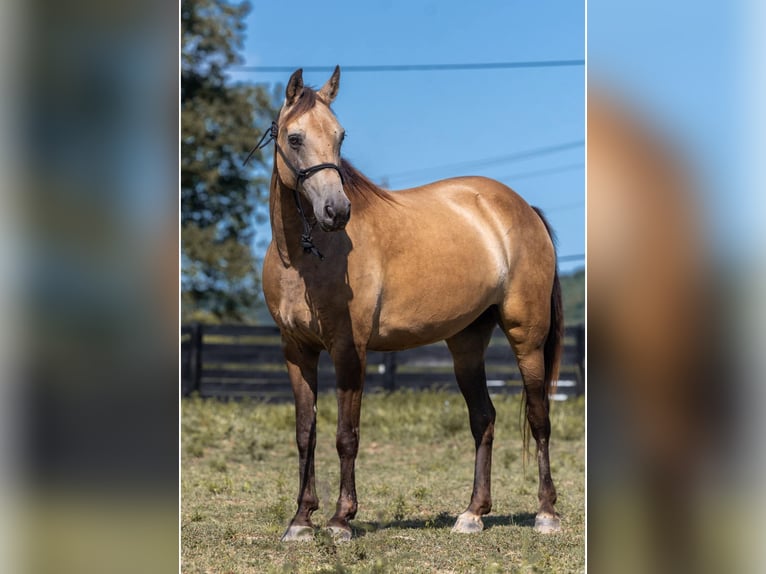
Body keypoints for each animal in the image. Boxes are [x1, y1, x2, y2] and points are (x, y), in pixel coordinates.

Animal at [256, 66, 563, 541]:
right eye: (295, 137)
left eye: (340, 136)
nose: (336, 211)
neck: (304, 256)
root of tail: (522, 208)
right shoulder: (297, 352)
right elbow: (305, 433)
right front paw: (300, 520)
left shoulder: (349, 350)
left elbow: (346, 435)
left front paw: (341, 519)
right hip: (466, 344)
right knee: (484, 419)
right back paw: (472, 513)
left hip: (526, 337)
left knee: (538, 417)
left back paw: (546, 513)